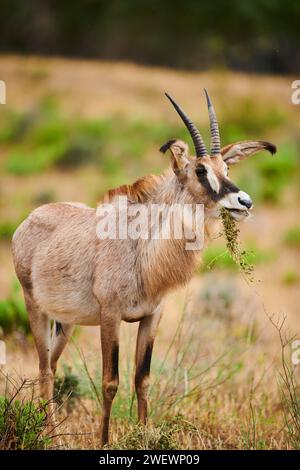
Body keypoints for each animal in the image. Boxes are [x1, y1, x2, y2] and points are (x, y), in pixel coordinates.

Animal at [12, 91, 276, 444]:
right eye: (200, 170)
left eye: (227, 168)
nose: (244, 202)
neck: (141, 244)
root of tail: (27, 221)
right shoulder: (110, 316)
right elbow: (110, 381)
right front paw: (105, 440)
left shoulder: (152, 316)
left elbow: (143, 379)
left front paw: (143, 434)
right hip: (35, 309)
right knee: (43, 367)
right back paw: (52, 438)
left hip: (65, 322)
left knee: (52, 366)